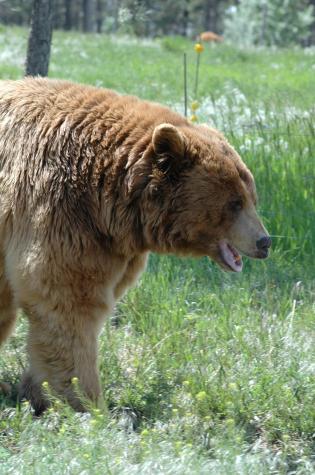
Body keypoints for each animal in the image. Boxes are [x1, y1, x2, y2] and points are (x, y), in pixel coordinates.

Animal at [0, 77, 272, 412]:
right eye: (235, 202)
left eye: (252, 197)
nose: (264, 241)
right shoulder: (60, 209)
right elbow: (67, 300)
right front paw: (86, 402)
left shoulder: (109, 245)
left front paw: (36, 389)